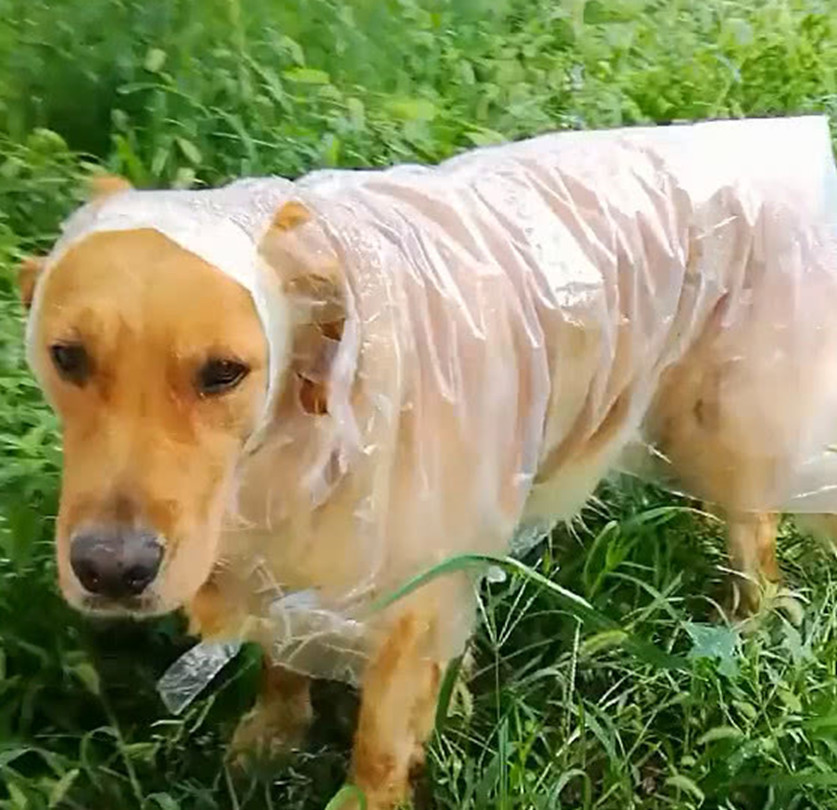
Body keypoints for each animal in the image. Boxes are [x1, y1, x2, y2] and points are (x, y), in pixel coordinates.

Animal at [19, 115, 837, 808]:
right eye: (67, 357)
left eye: (223, 372)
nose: (112, 571)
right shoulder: (293, 565)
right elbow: (283, 661)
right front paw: (271, 737)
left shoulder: (414, 600)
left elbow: (379, 746)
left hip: (730, 415)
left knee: (758, 529)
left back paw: (749, 621)